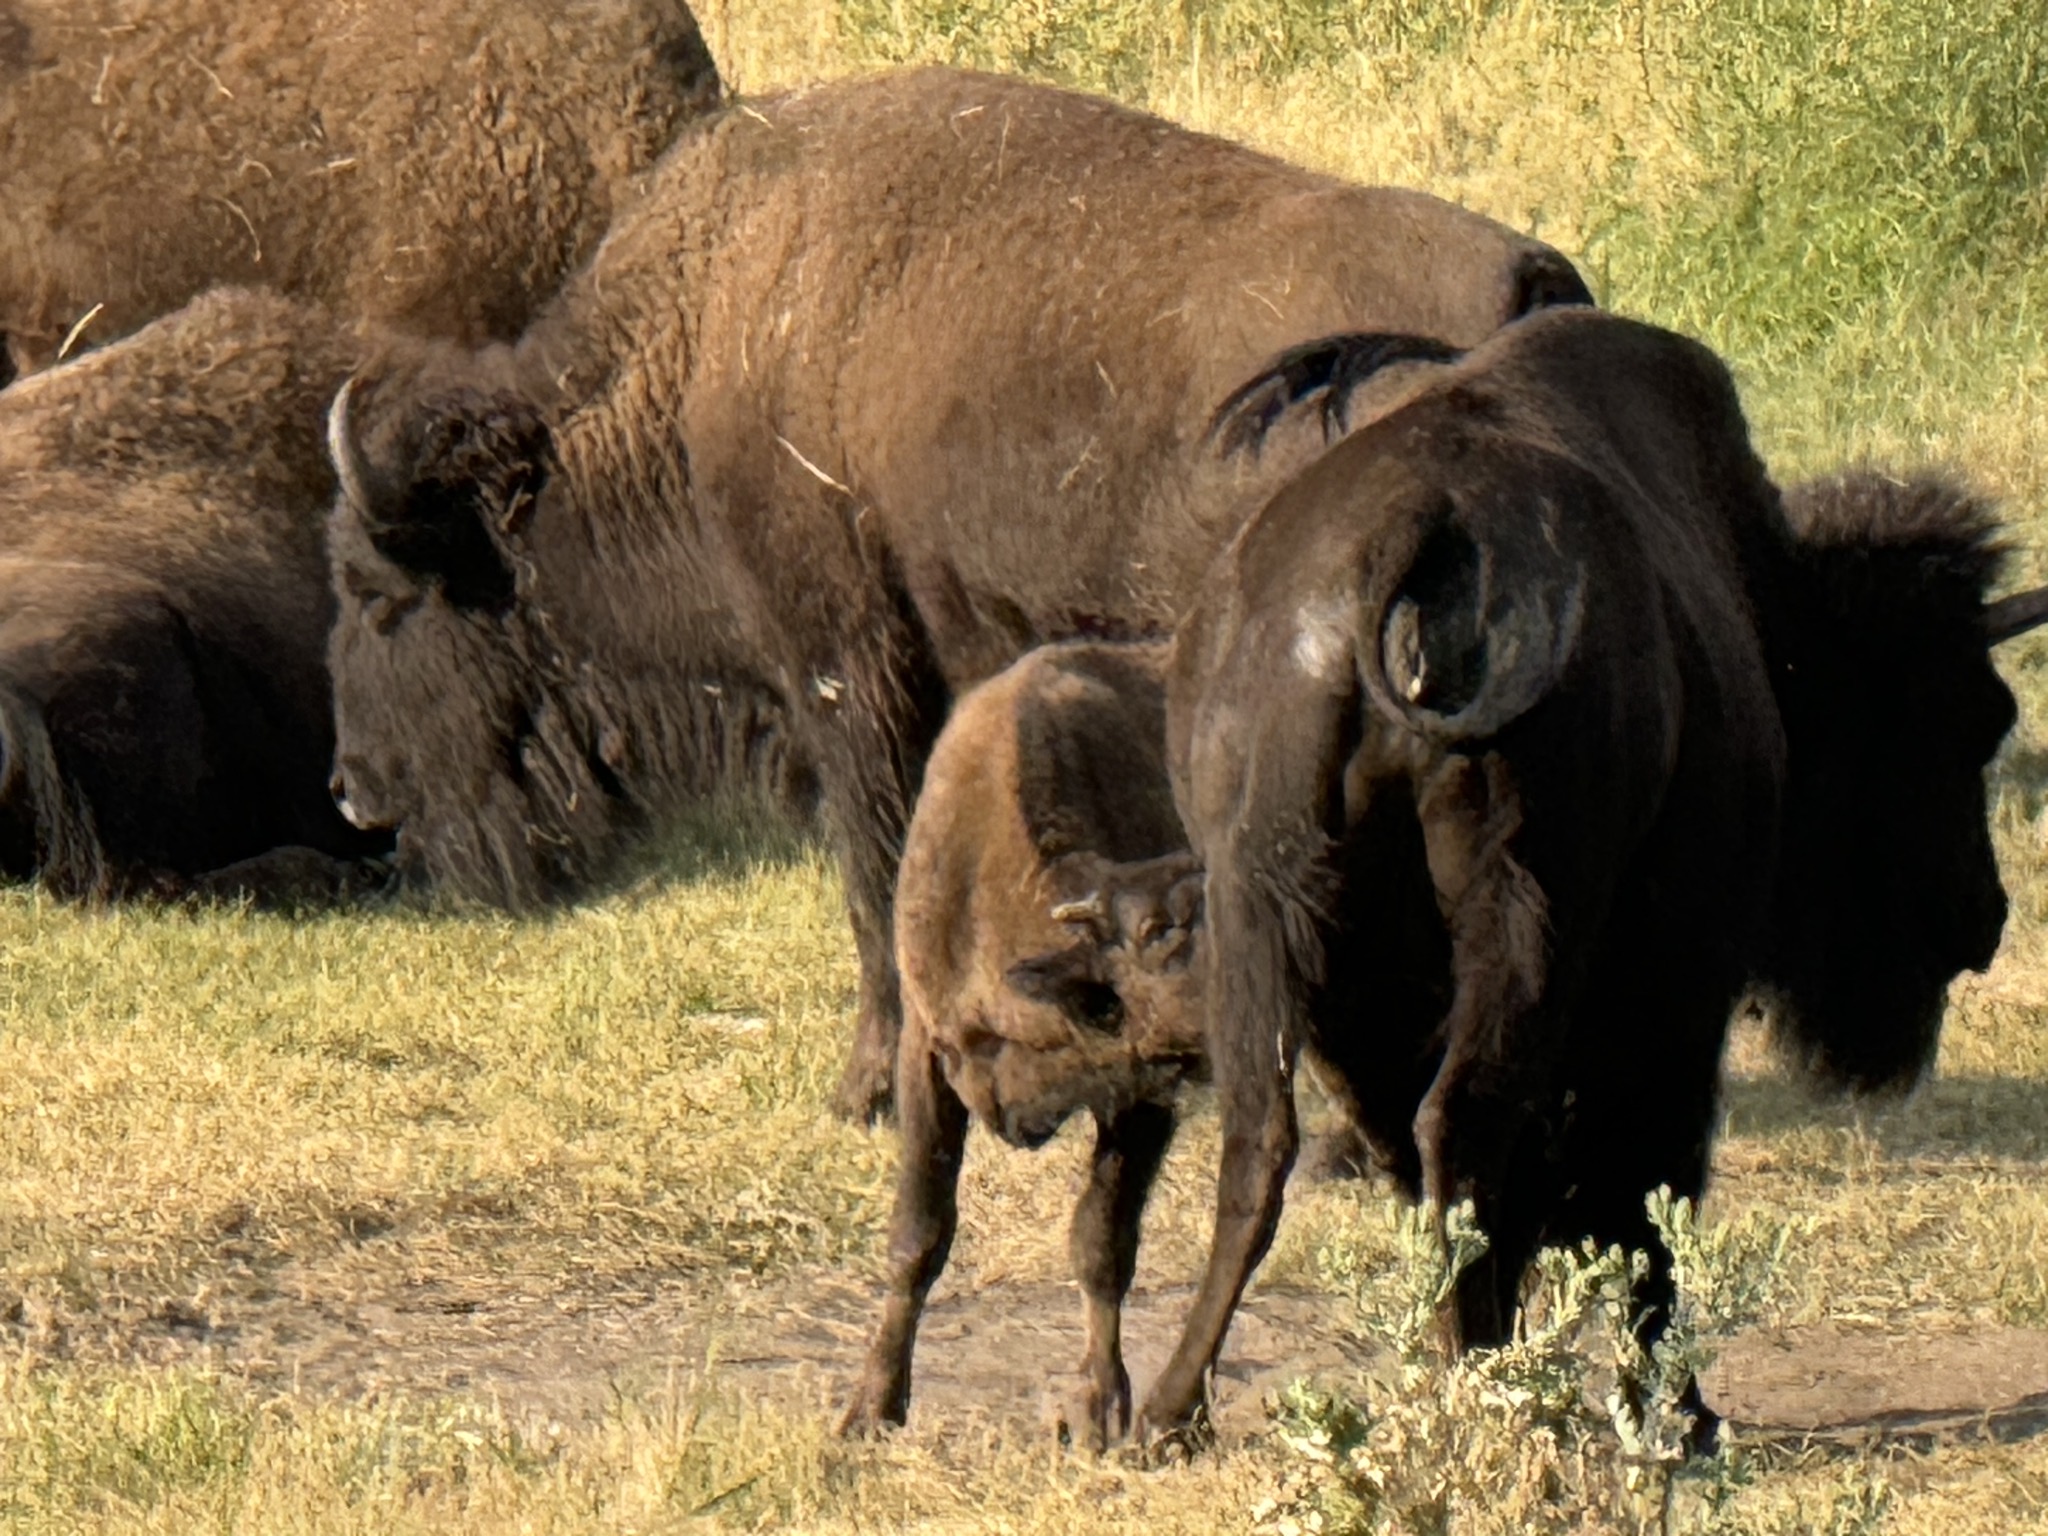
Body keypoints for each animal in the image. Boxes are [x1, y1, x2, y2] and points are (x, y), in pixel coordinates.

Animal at [325, 65, 1594, 1120]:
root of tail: (1522, 287)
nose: (350, 788)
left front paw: (865, 1090)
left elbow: (874, 873)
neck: (694, 355)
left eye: (379, 595)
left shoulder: (843, 668)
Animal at [1138, 307, 2045, 1445]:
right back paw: (1490, 1386)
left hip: (1263, 911)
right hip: (1527, 915)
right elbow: (1650, 1192)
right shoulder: (1686, 986)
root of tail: (1417, 529)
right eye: (1963, 719)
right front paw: (1684, 1415)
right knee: (1471, 1127)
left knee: (1270, 1141)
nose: (1982, 916)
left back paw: (1171, 1410)